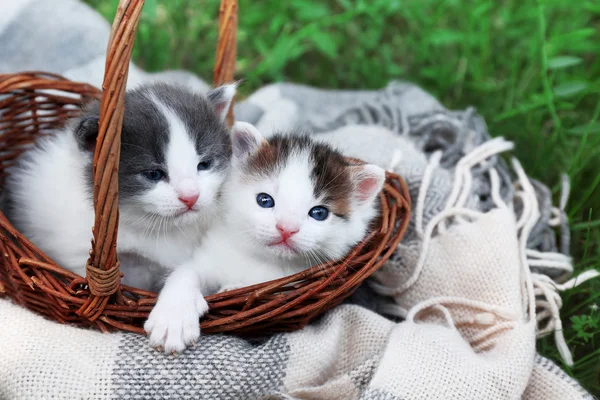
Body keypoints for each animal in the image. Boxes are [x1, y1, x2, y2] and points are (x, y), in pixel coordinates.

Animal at [145, 122, 384, 354]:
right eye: (265, 200)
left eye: (319, 213)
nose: (286, 228)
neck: (265, 260)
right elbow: (185, 273)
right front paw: (173, 319)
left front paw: (231, 288)